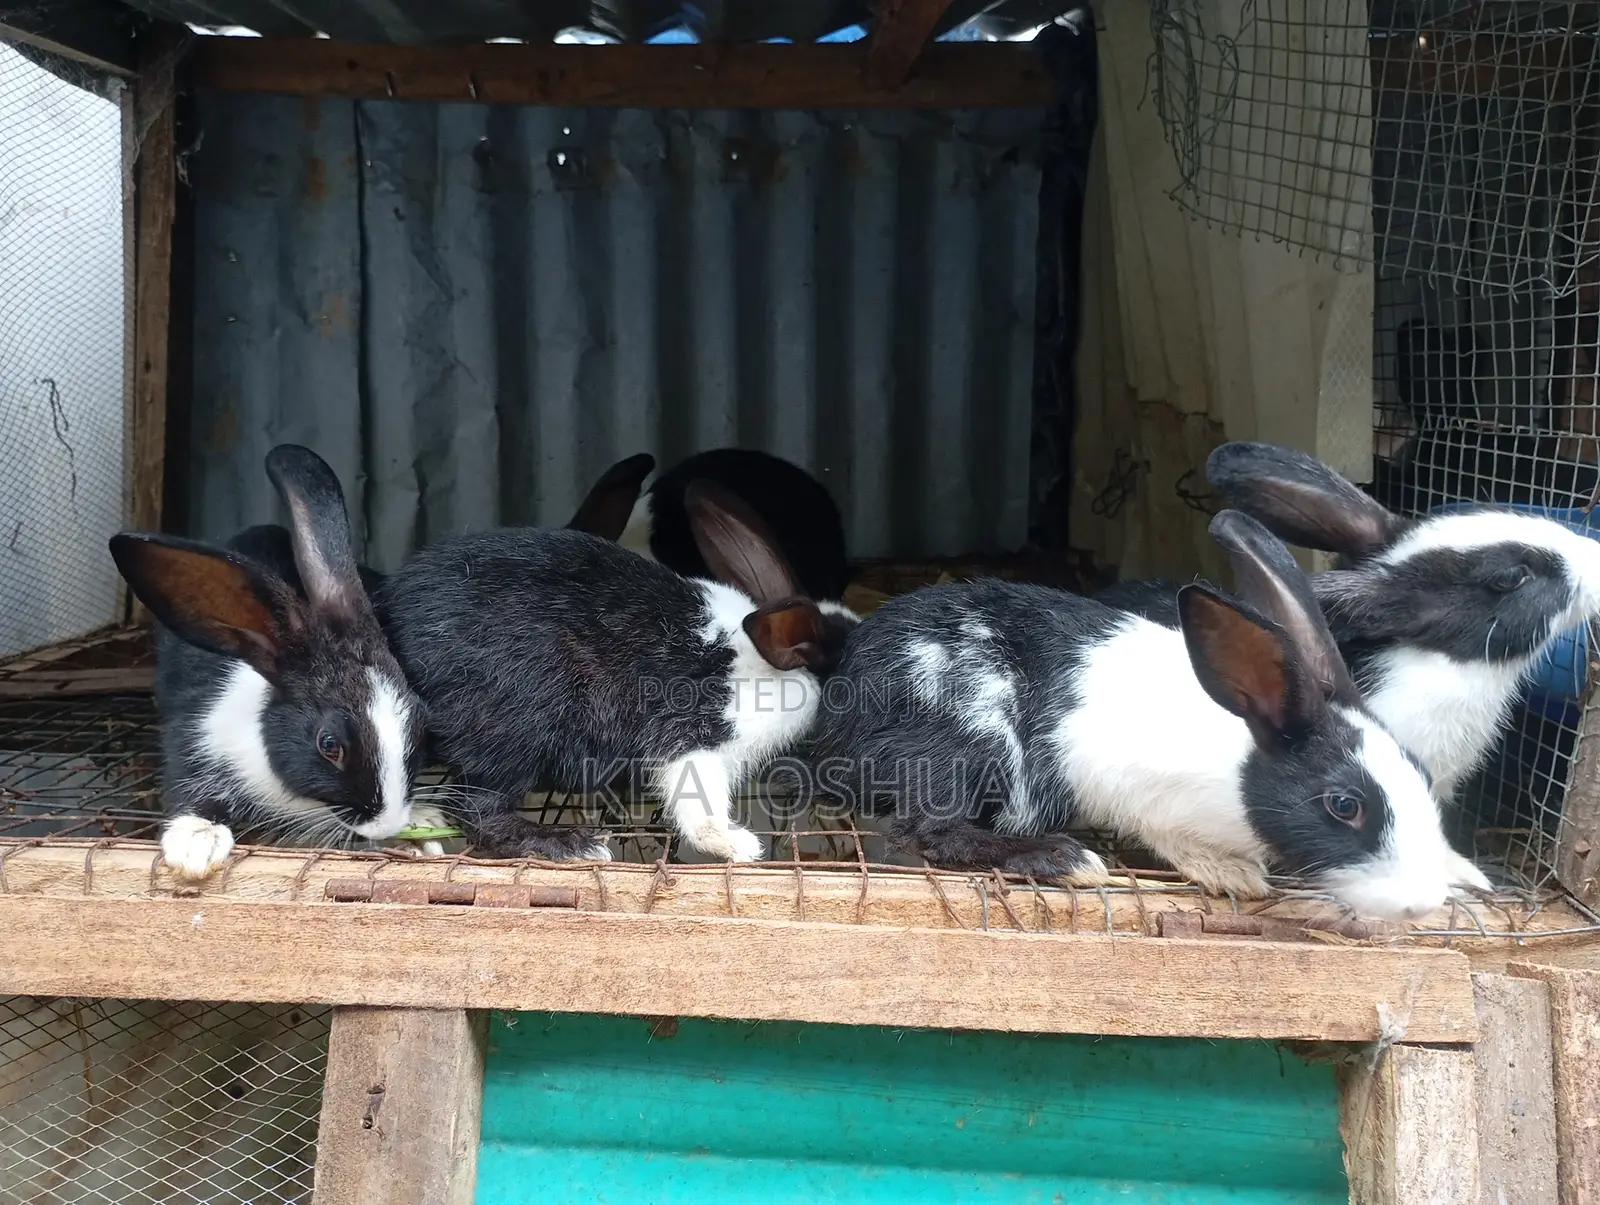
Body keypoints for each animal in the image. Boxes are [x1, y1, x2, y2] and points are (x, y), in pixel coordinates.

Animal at [108, 445, 426, 881]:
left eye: (420, 721)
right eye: (329, 745)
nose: (387, 825)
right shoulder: (194, 740)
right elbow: (191, 793)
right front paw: (196, 846)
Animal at [373, 480, 858, 863]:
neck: (773, 663)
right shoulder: (694, 739)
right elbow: (697, 807)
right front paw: (738, 846)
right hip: (513, 729)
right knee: (476, 810)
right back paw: (572, 845)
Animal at [809, 509, 1468, 920]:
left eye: (1421, 777)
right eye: (1344, 805)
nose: (1420, 904)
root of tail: (841, 723)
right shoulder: (1141, 795)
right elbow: (1169, 836)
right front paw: (1233, 873)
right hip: (969, 741)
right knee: (926, 833)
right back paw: (1066, 859)